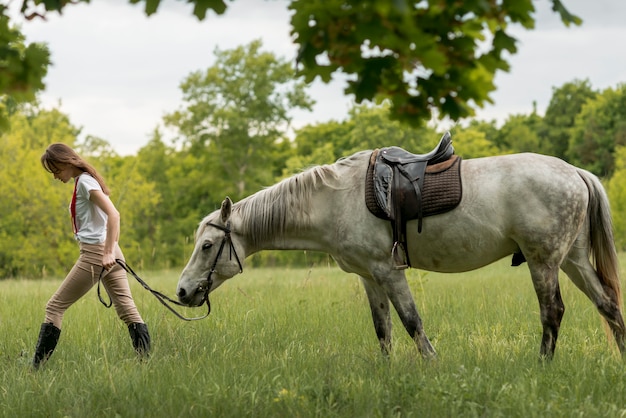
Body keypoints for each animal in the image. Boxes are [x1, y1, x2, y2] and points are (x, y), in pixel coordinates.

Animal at [176, 149, 624, 360]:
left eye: (208, 246)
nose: (181, 291)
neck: (334, 200)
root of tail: (575, 172)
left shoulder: (389, 272)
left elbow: (411, 323)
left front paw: (433, 366)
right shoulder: (369, 277)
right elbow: (383, 330)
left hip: (543, 262)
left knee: (552, 313)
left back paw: (542, 364)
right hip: (573, 260)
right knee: (608, 304)